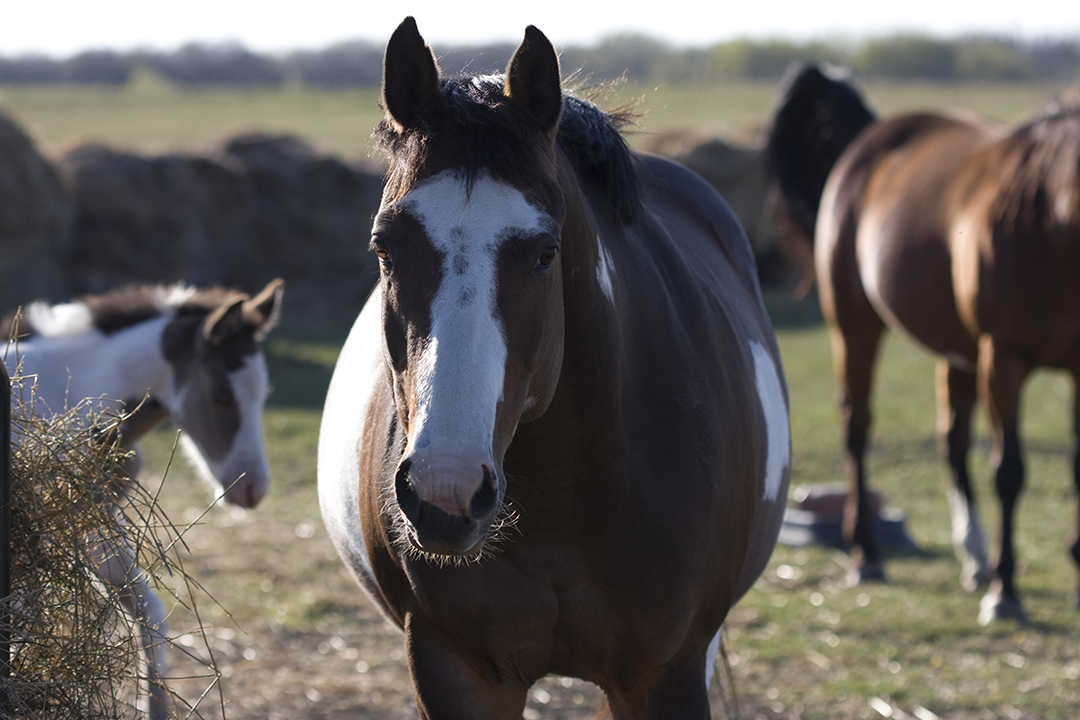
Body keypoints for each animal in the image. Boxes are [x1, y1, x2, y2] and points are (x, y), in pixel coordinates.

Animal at [1, 278, 287, 716]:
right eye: (221, 394)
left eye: (263, 394)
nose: (252, 489)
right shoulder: (59, 525)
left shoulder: (91, 519)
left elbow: (149, 614)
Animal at [315, 18, 790, 720]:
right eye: (384, 248)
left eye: (544, 253)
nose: (445, 490)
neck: (563, 504)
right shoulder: (454, 667)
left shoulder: (667, 672)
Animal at [764, 64, 1080, 621]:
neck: (1048, 221)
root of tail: (871, 138)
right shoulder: (1003, 359)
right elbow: (1009, 471)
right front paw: (1006, 592)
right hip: (856, 326)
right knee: (857, 429)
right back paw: (868, 555)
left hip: (958, 352)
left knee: (951, 442)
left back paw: (973, 558)